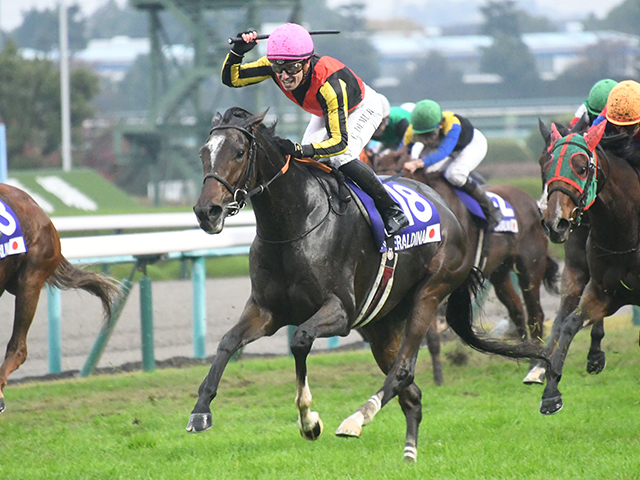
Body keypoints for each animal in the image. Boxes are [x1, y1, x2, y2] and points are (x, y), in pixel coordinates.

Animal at [378, 148, 556, 384]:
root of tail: (533, 202)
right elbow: (429, 334)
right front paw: (437, 376)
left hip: (530, 266)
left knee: (535, 313)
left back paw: (535, 366)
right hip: (500, 273)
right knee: (517, 309)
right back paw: (524, 353)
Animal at [536, 121, 640, 416]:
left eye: (582, 167)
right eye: (545, 166)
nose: (554, 222)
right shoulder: (604, 291)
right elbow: (570, 323)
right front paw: (550, 393)